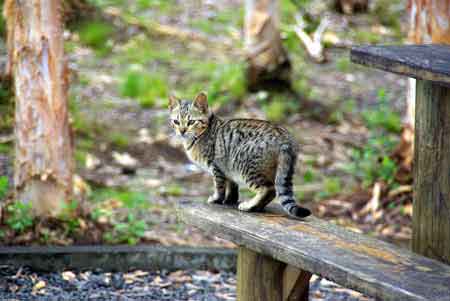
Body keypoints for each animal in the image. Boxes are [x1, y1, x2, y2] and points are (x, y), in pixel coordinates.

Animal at [168, 90, 310, 217]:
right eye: (176, 122)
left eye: (191, 122)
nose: (182, 131)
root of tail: (285, 139)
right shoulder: (228, 169)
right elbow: (232, 187)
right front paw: (230, 200)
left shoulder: (216, 167)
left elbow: (219, 186)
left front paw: (217, 199)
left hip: (247, 166)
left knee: (270, 189)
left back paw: (250, 206)